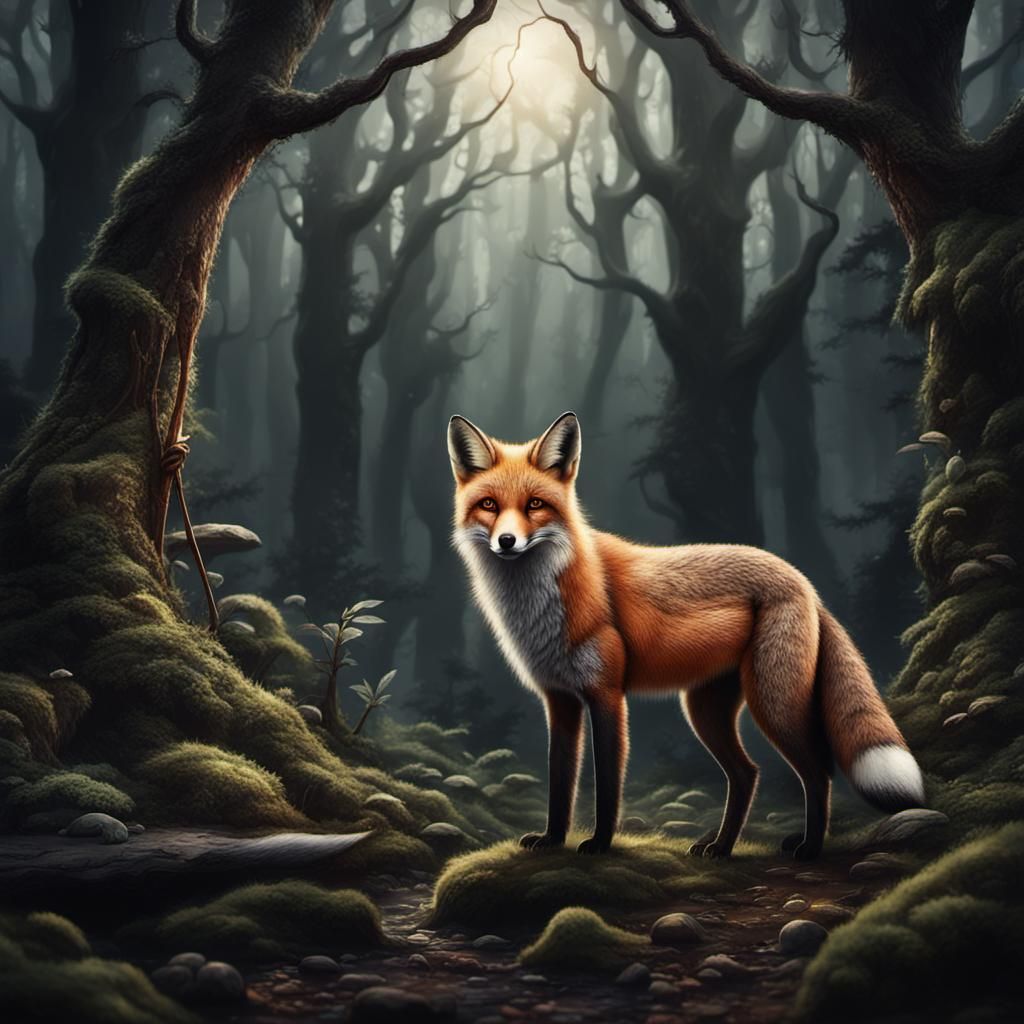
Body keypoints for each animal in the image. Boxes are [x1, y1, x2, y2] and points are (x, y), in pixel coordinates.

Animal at [448, 411, 926, 859]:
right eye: (489, 504)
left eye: (534, 505)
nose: (507, 541)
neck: (544, 605)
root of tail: (804, 581)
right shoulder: (560, 700)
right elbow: (559, 781)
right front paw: (552, 840)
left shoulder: (607, 695)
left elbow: (607, 784)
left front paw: (600, 843)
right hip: (705, 710)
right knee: (747, 773)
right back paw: (721, 848)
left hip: (773, 703)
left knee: (818, 770)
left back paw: (808, 848)